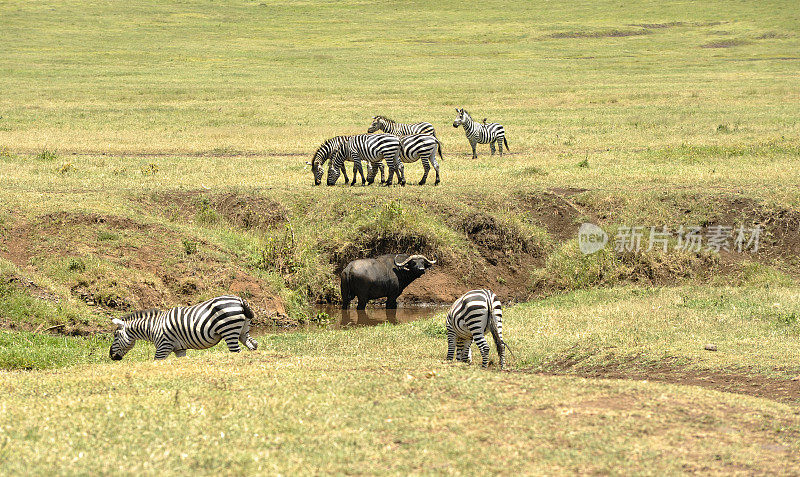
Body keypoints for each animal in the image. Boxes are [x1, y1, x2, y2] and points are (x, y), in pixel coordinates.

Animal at [109, 294, 258, 360]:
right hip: (242, 331)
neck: (154, 327)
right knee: (253, 344)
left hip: (229, 330)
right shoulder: (180, 349)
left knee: (236, 351)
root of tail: (239, 299)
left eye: (116, 336)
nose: (111, 356)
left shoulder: (163, 346)